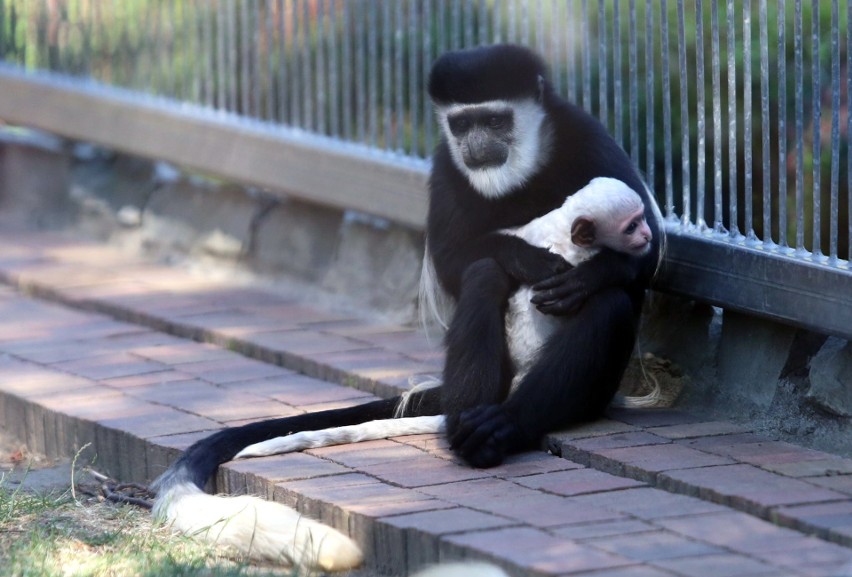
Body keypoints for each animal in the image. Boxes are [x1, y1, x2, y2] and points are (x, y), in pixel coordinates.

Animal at [150, 44, 664, 568]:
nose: (477, 144)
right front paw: (530, 258)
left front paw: (585, 276)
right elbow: (452, 257)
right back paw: (471, 423)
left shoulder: (586, 135)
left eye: (495, 120)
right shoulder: (445, 164)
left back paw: (503, 425)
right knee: (484, 274)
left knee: (611, 306)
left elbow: (648, 262)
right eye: (461, 124)